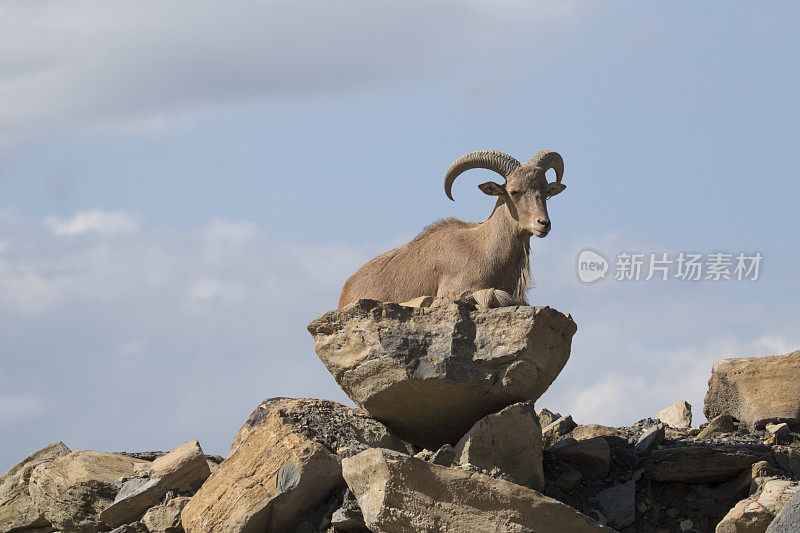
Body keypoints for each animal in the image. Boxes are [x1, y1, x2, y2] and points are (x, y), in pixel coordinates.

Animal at [340, 149, 564, 308]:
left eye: (546, 191)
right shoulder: (455, 291)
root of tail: (346, 289)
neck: (484, 247)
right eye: (514, 191)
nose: (543, 224)